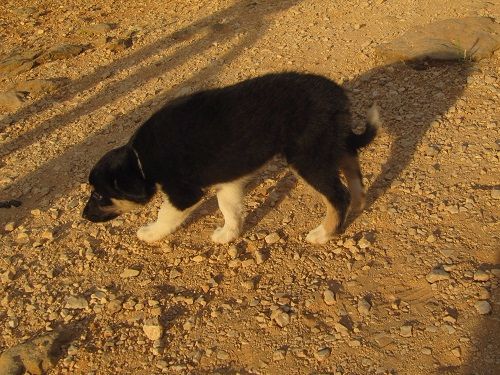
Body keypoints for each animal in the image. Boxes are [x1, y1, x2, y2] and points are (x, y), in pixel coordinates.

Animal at [82, 72, 378, 245]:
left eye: (99, 195)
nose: (84, 215)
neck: (140, 161)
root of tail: (337, 95)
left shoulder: (184, 194)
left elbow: (165, 214)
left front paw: (151, 233)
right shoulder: (228, 181)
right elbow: (229, 208)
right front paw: (228, 234)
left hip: (307, 157)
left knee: (337, 196)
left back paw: (324, 233)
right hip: (329, 143)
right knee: (351, 163)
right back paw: (359, 202)